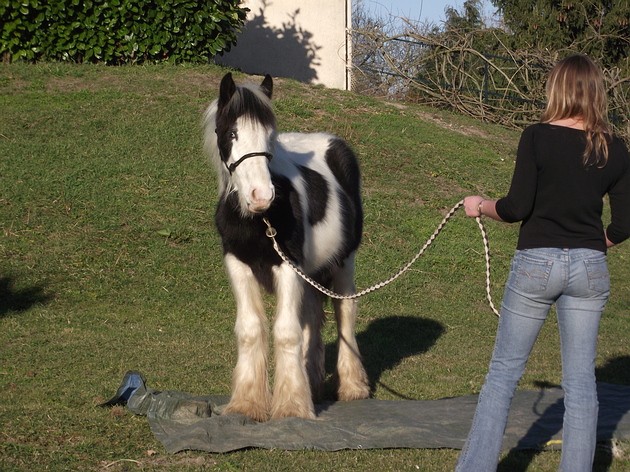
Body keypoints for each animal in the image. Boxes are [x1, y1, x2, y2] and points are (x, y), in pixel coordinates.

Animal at [202, 73, 370, 420]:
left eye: (270, 136)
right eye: (232, 133)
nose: (261, 196)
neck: (258, 220)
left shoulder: (287, 266)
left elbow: (286, 331)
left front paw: (291, 407)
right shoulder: (238, 264)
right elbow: (251, 329)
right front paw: (247, 403)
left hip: (344, 263)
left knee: (345, 313)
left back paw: (352, 387)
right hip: (312, 273)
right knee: (313, 317)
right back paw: (313, 386)